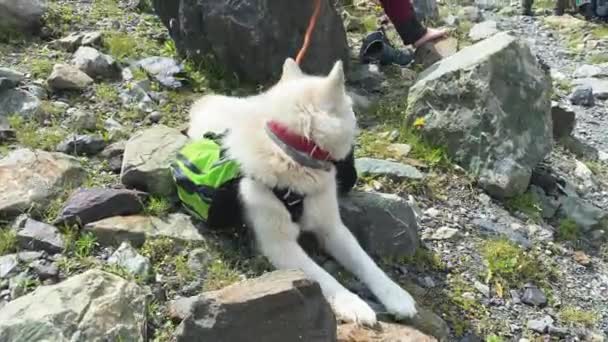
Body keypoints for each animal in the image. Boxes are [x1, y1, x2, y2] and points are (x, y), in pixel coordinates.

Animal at [186, 57, 418, 324]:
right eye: (350, 110)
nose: (358, 124)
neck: (292, 154)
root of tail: (207, 100)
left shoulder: (333, 229)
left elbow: (366, 262)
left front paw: (396, 295)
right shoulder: (281, 246)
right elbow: (324, 277)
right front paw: (352, 304)